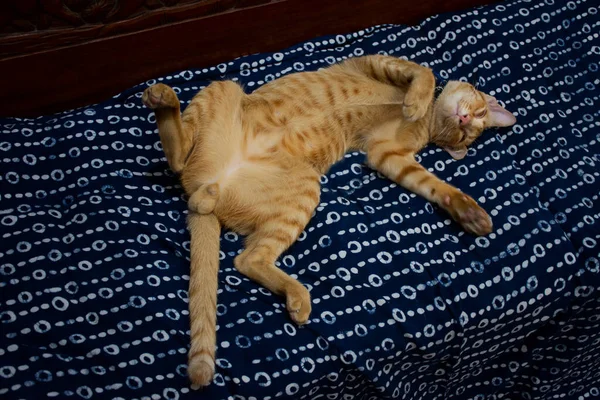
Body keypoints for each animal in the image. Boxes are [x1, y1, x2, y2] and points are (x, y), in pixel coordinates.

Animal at [141, 54, 516, 390]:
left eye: (466, 135)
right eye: (478, 113)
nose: (465, 121)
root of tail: (212, 180)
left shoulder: (387, 155)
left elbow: (436, 186)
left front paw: (468, 212)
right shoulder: (374, 62)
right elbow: (423, 70)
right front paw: (416, 101)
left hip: (304, 188)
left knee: (245, 256)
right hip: (225, 88)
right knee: (180, 159)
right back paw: (163, 99)